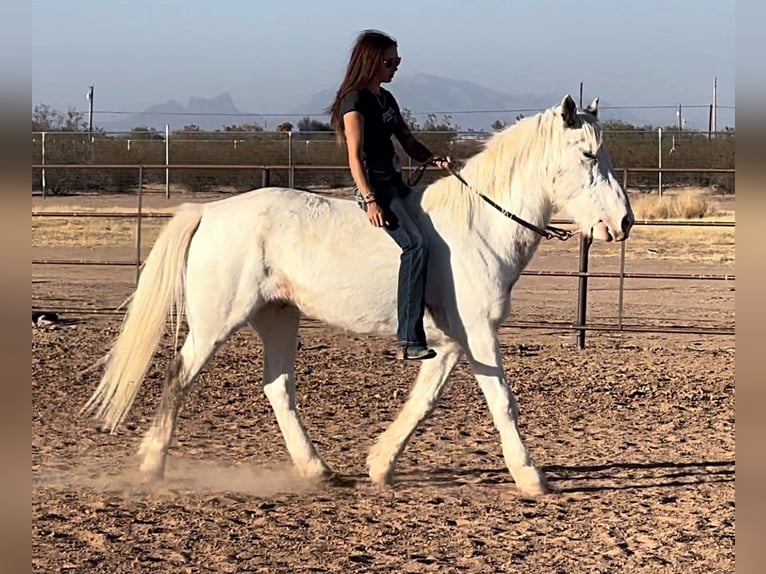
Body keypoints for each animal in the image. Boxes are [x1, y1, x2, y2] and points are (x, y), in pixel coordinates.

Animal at [84, 97, 636, 498]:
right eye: (588, 155)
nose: (624, 222)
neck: (479, 224)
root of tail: (209, 211)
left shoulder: (451, 342)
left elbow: (423, 401)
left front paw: (380, 465)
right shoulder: (479, 334)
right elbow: (502, 401)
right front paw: (532, 477)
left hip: (278, 317)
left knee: (277, 388)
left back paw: (317, 470)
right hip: (217, 321)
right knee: (180, 375)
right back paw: (152, 463)